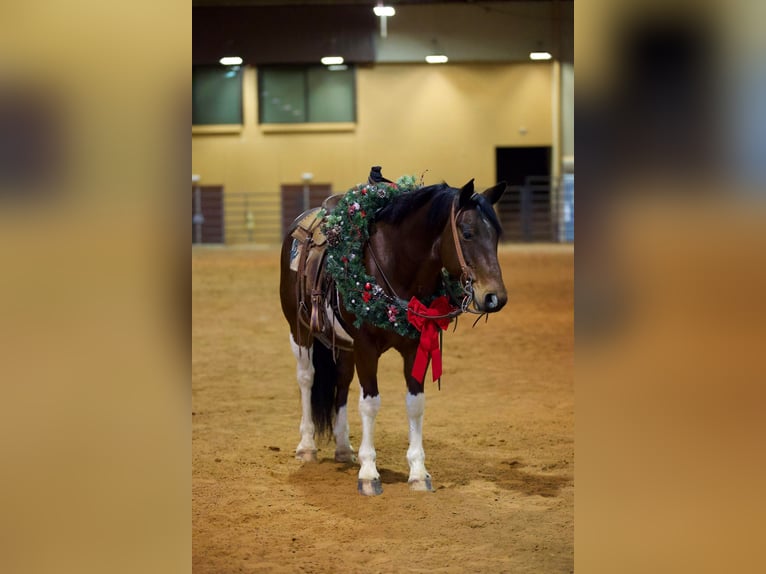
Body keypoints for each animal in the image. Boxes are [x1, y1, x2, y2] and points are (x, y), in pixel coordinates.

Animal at [280, 166, 508, 496]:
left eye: (497, 235)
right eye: (467, 233)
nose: (495, 297)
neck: (395, 264)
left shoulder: (415, 345)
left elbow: (415, 404)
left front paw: (418, 472)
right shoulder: (365, 347)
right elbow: (370, 403)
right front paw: (368, 473)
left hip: (343, 345)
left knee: (342, 381)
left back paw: (343, 448)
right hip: (300, 331)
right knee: (306, 378)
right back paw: (307, 445)